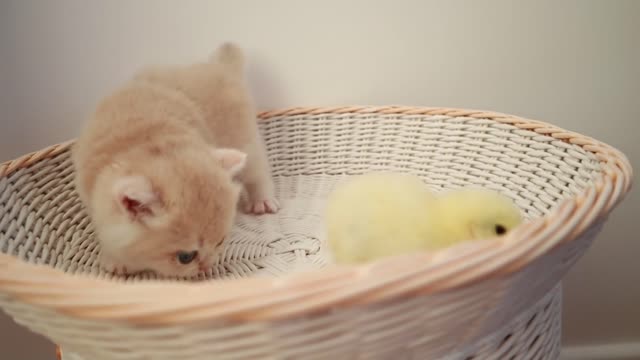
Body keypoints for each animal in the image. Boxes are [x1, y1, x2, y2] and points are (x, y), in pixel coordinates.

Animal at [72, 43, 278, 278]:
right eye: (186, 257)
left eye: (220, 242)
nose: (207, 267)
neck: (147, 141)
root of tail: (218, 66)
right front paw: (115, 259)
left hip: (244, 139)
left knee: (257, 172)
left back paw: (262, 200)